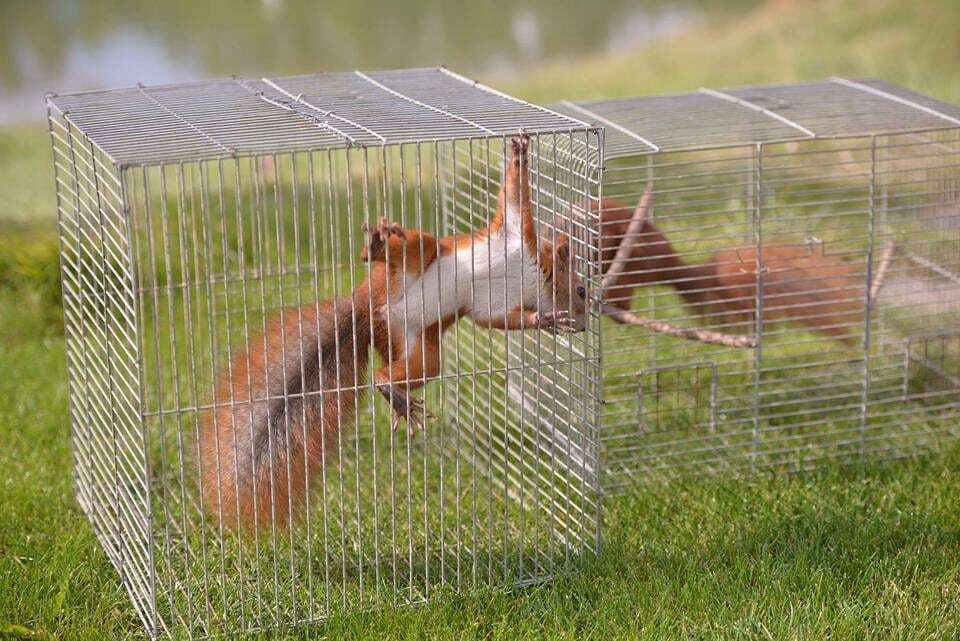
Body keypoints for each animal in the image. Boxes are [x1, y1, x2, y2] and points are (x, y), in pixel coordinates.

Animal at [200, 134, 588, 528]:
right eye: (582, 290)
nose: (585, 325)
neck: (531, 280)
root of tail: (366, 305)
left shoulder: (489, 308)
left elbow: (500, 319)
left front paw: (543, 321)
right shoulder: (514, 235)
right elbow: (514, 200)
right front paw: (520, 154)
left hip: (414, 345)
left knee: (394, 371)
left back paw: (395, 394)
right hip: (419, 257)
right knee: (415, 246)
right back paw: (377, 246)